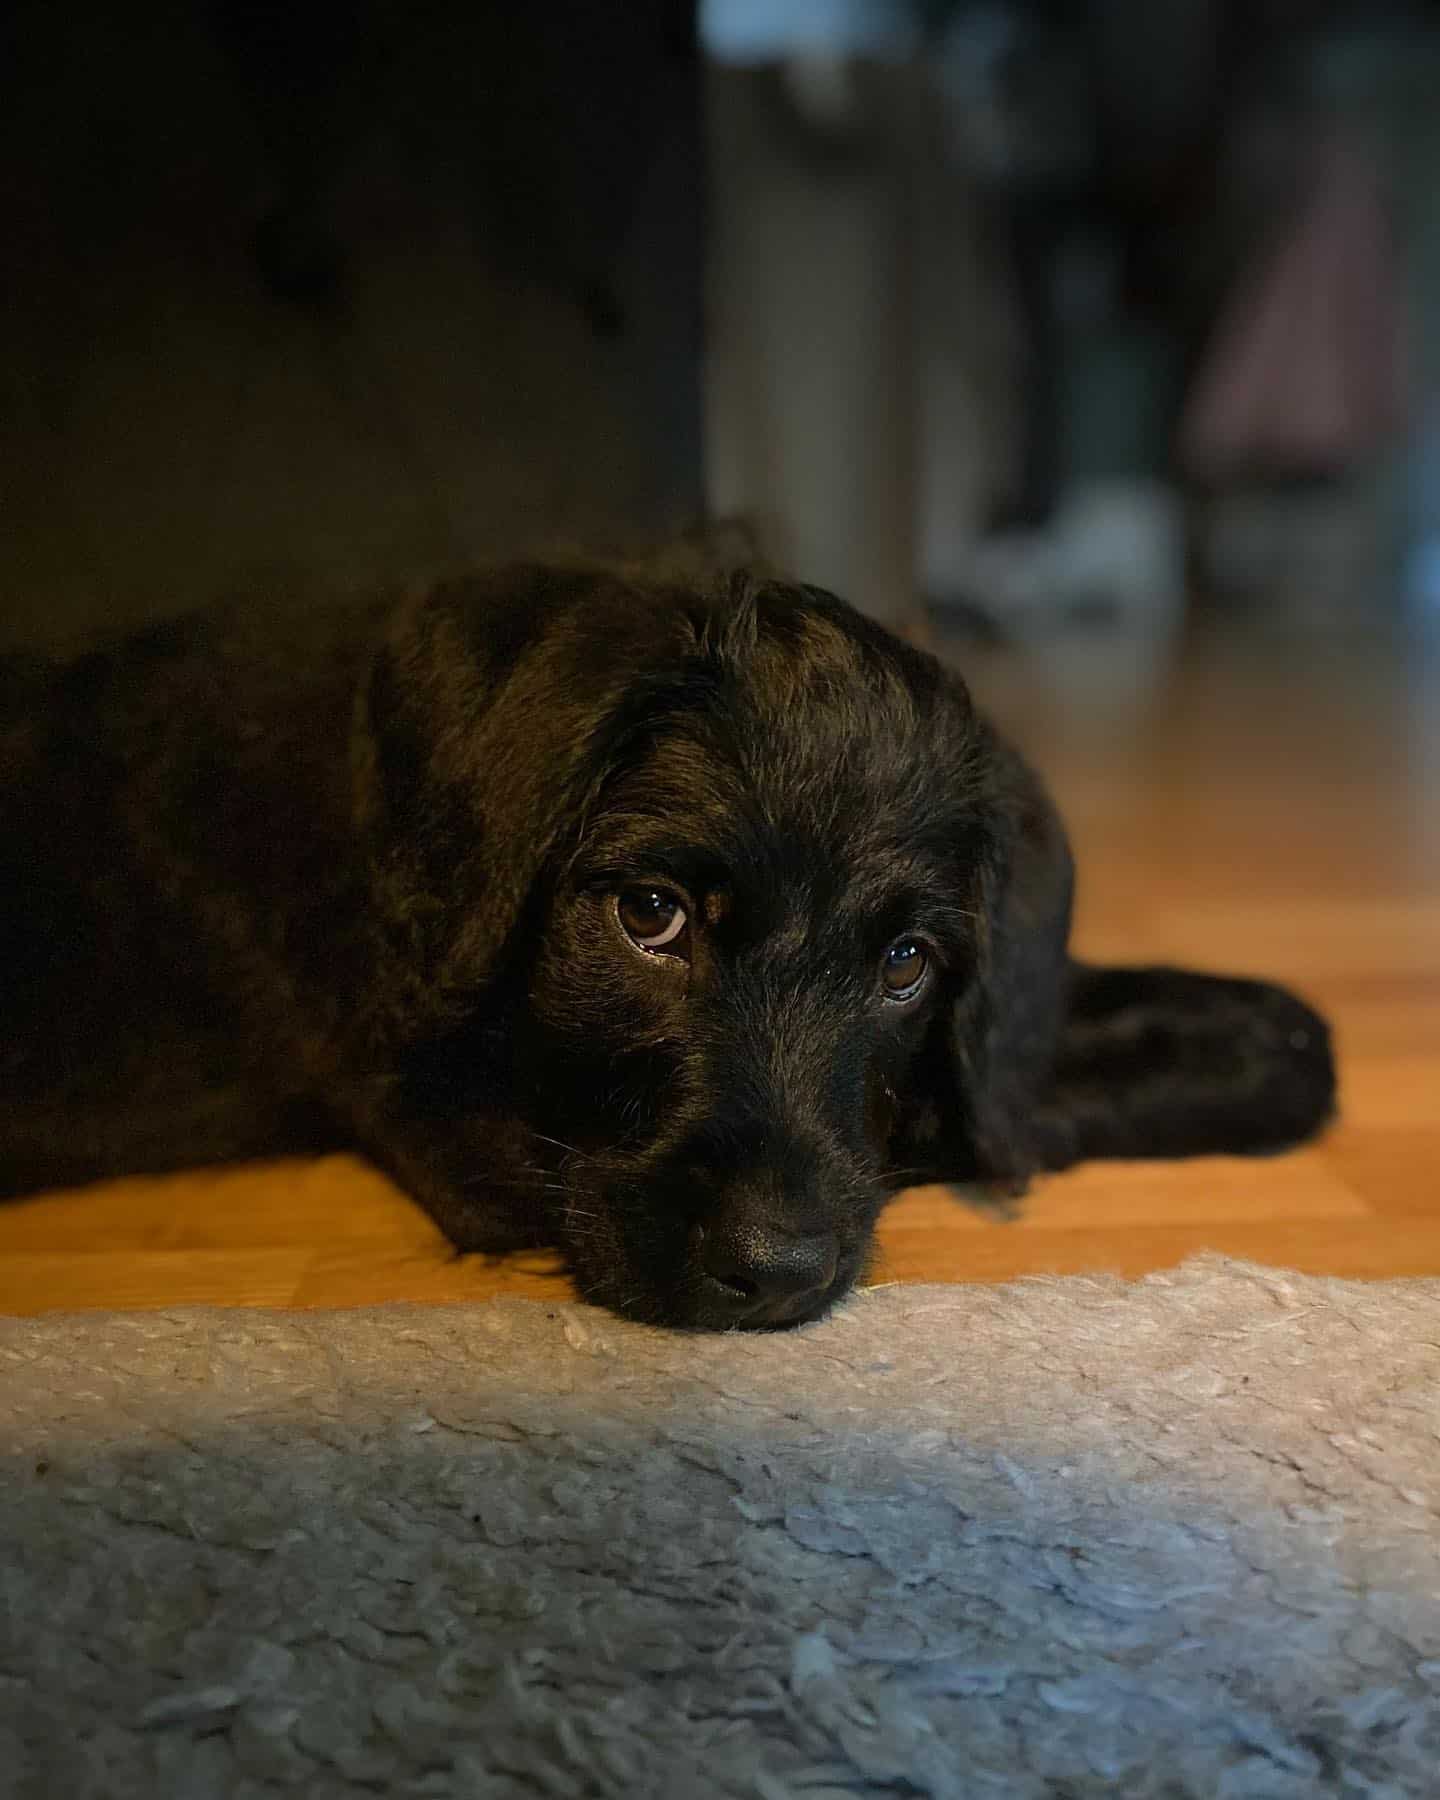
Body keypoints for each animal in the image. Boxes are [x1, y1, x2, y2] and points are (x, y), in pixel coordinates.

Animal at [0, 568, 1332, 1332]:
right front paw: (1254, 1061)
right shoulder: (442, 1106)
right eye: (651, 915)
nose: (779, 1272)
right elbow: (941, 1116)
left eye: (906, 965)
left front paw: (1254, 1025)